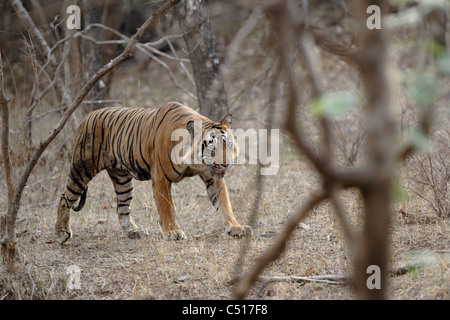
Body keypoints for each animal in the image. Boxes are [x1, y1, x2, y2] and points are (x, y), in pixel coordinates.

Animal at [55, 101, 251, 244]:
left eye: (228, 144)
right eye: (212, 148)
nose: (226, 164)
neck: (194, 162)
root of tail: (86, 117)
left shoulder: (213, 177)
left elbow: (225, 204)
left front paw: (236, 228)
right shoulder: (161, 177)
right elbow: (167, 207)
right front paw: (172, 232)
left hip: (122, 180)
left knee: (122, 207)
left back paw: (135, 232)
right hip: (82, 168)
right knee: (65, 198)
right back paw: (61, 233)